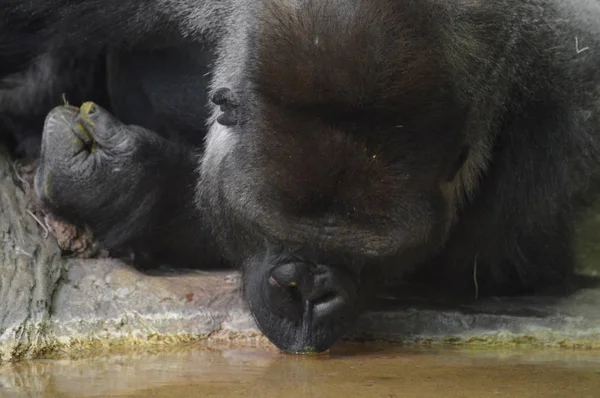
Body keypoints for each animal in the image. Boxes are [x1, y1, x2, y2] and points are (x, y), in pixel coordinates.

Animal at [1, 0, 600, 354]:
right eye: (268, 225)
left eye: (374, 254)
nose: (307, 290)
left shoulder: (560, 99)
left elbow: (493, 268)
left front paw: (129, 185)